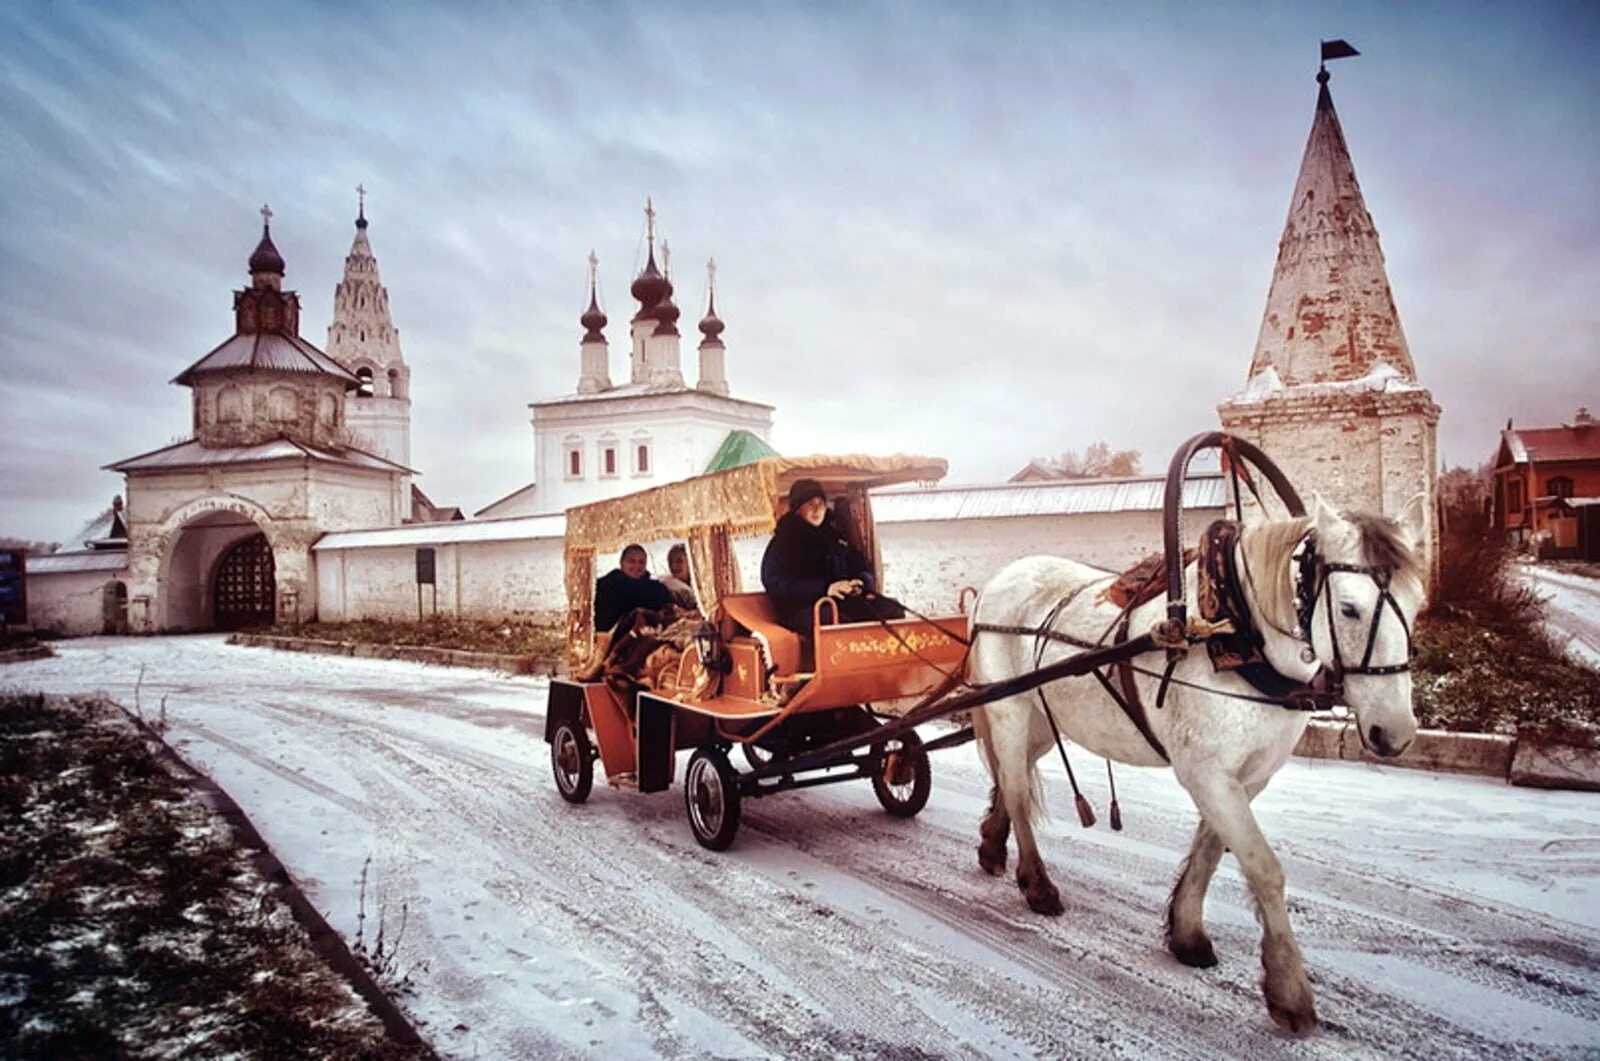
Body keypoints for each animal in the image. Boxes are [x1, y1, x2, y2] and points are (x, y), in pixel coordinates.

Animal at [966, 499, 1433, 1036]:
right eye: (1350, 608)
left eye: (1418, 603)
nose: (1395, 732)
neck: (1234, 632)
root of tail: (999, 580)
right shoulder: (1207, 773)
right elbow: (1264, 869)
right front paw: (1289, 989)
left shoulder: (1247, 776)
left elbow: (1211, 852)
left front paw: (1186, 933)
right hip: (1008, 706)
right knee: (1017, 788)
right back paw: (1037, 884)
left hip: (1045, 718)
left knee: (1012, 775)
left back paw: (993, 844)